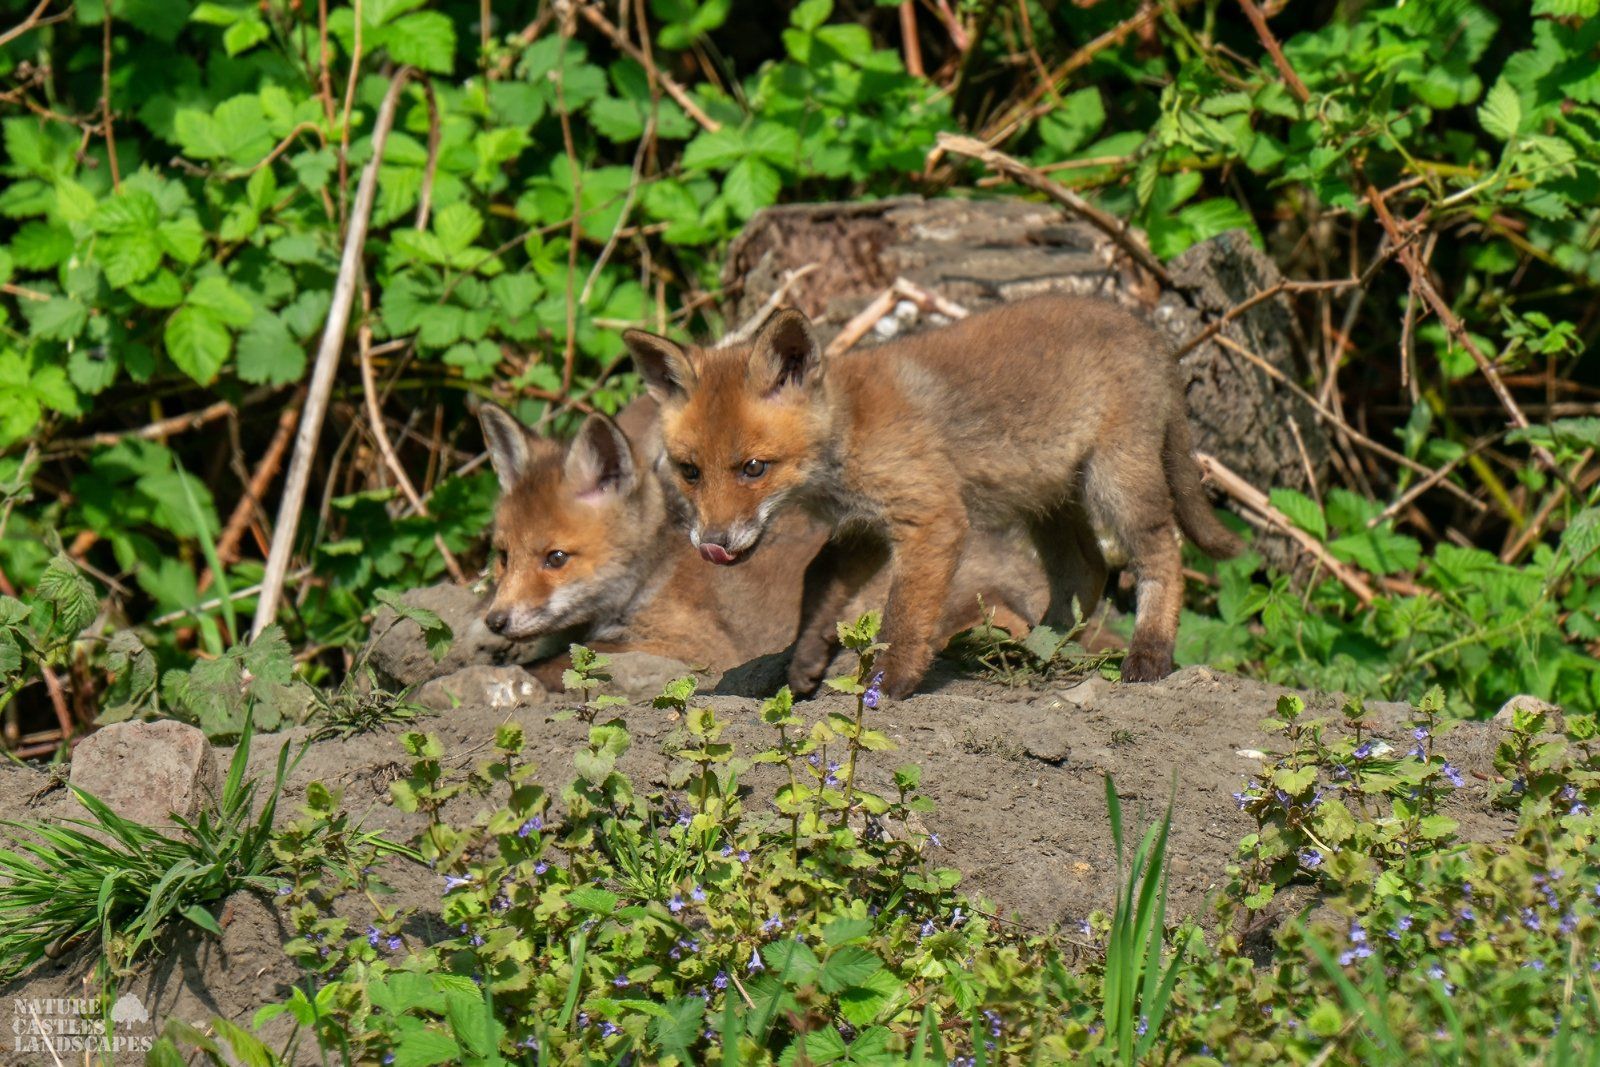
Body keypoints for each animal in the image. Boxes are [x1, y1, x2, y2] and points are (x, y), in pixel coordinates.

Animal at [476, 397, 1043, 678]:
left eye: (555, 558)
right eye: (502, 556)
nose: (494, 621)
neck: (649, 578)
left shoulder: (698, 651)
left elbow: (563, 664)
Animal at [623, 292, 1243, 701]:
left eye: (753, 468)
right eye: (689, 471)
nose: (712, 544)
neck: (848, 430)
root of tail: (1152, 336)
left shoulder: (931, 516)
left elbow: (903, 614)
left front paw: (888, 683)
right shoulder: (865, 526)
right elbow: (818, 582)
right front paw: (805, 662)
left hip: (1115, 481)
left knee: (1162, 552)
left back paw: (1150, 652)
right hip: (1046, 496)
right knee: (1086, 571)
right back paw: (1037, 649)